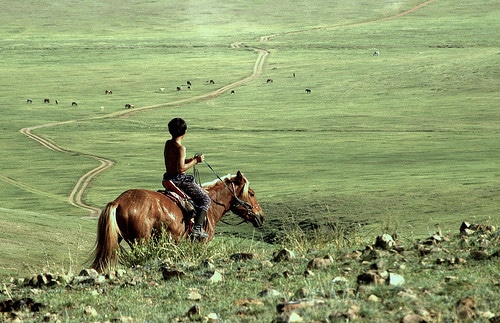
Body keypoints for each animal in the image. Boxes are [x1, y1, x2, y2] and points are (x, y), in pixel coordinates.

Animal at [90, 172, 264, 274]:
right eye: (251, 193)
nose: (261, 217)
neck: (211, 205)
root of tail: (118, 201)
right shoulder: (201, 244)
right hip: (140, 242)